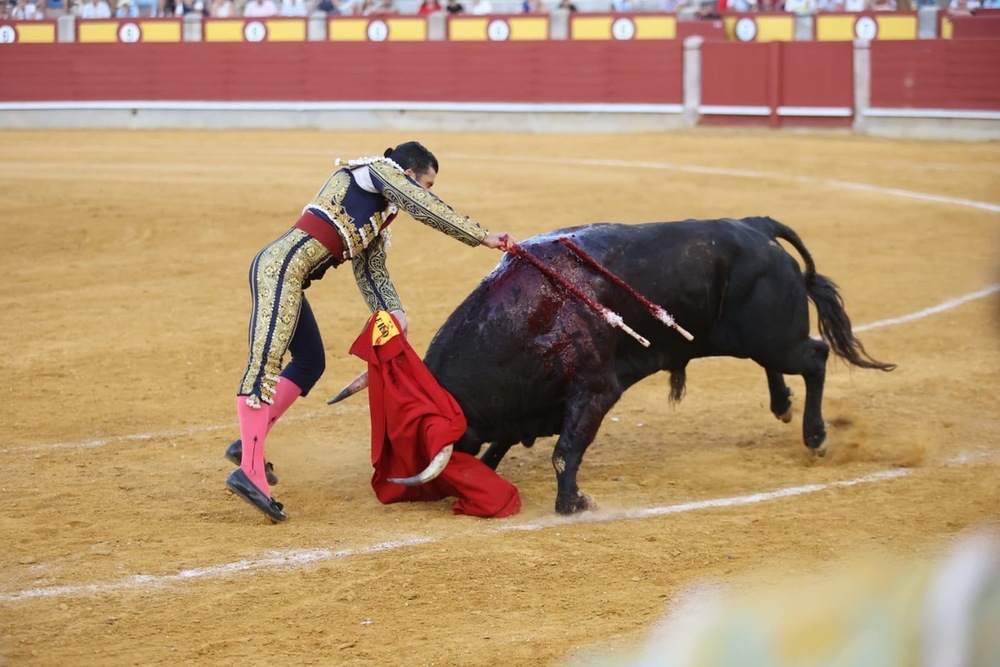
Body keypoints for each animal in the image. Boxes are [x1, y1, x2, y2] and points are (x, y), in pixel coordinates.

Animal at [422, 219, 900, 516]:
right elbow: (503, 445)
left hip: (775, 337)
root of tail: (755, 225)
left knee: (815, 357)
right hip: (752, 339)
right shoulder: (529, 407)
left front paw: (575, 504)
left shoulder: (595, 391)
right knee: (781, 365)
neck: (527, 316)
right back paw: (783, 405)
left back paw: (816, 436)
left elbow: (565, 452)